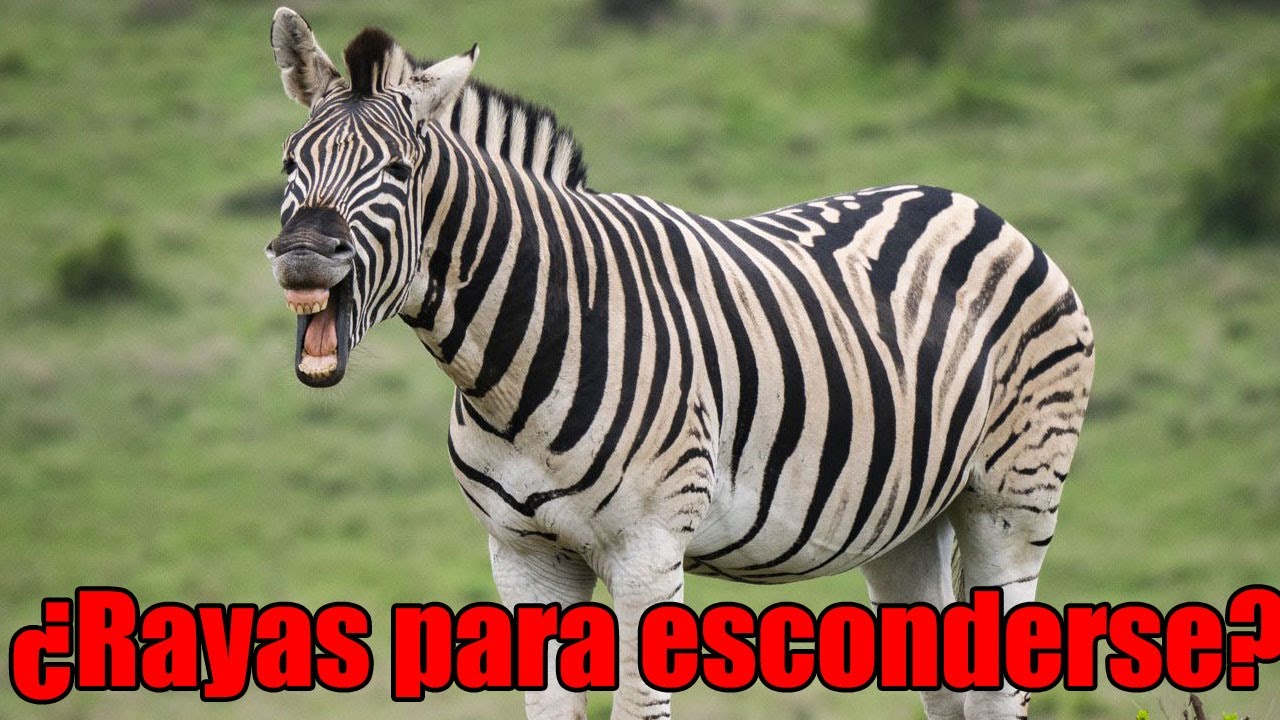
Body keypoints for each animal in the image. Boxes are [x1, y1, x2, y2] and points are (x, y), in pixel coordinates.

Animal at [265, 8, 1095, 719]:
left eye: (399, 172)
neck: (514, 367)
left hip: (1011, 501)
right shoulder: (522, 557)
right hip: (907, 525)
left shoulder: (650, 550)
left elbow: (638, 705)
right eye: (289, 163)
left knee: (998, 689)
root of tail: (973, 206)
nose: (303, 255)